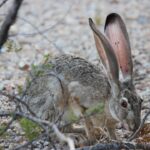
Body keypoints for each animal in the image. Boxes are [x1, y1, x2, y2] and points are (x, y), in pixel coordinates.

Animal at [22, 13, 142, 143]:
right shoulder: (78, 98)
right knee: (52, 131)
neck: (107, 99)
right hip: (54, 96)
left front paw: (117, 140)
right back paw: (74, 137)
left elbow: (111, 130)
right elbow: (87, 120)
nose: (136, 126)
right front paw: (93, 140)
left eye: (141, 101)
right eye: (123, 104)